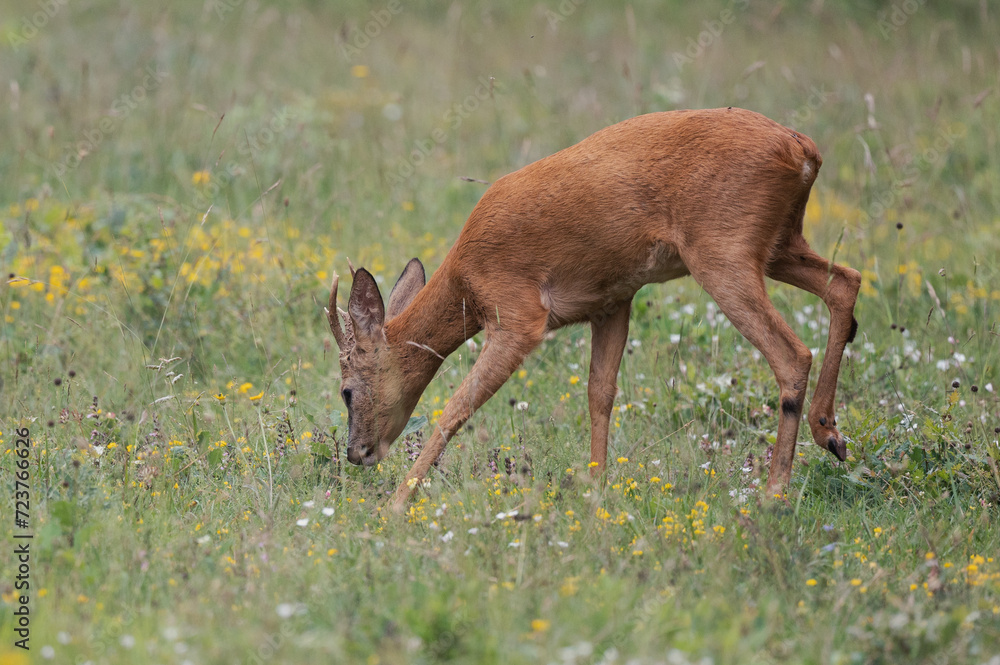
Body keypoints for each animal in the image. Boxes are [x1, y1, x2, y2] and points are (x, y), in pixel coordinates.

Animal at [325, 107, 861, 513]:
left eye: (347, 391)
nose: (356, 453)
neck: (464, 277)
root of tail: (802, 149)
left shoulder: (517, 315)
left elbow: (457, 407)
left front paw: (396, 506)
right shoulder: (614, 300)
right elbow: (599, 393)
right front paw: (598, 492)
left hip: (723, 250)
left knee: (792, 352)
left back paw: (774, 493)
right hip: (777, 243)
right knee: (846, 282)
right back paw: (830, 434)